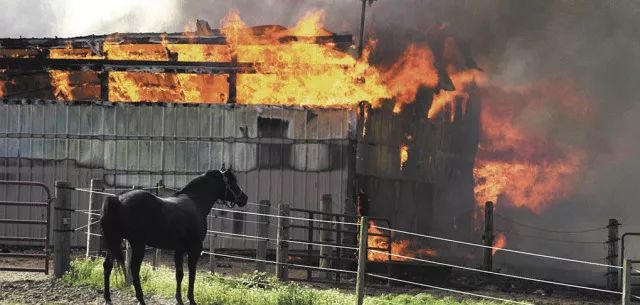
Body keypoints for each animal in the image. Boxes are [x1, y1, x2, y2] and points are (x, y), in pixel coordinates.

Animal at [100, 167, 248, 302]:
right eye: (232, 182)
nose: (244, 198)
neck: (195, 202)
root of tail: (118, 199)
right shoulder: (194, 248)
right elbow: (192, 274)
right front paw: (191, 299)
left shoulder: (179, 249)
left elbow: (179, 274)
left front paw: (179, 299)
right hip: (137, 244)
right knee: (134, 269)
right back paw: (141, 299)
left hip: (114, 241)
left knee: (107, 266)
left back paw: (108, 298)